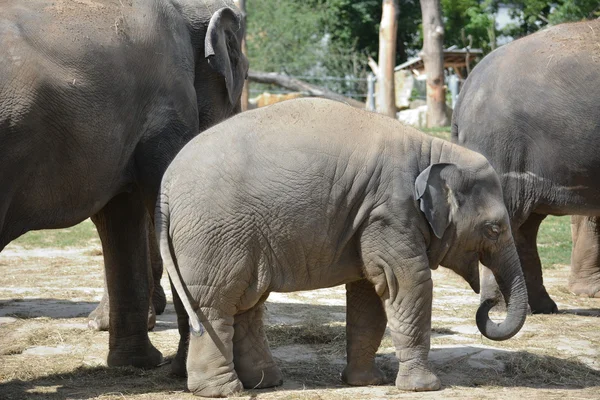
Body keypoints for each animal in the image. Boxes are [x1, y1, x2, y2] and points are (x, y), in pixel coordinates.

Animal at [156, 97, 528, 396]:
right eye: (494, 229)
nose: (489, 303)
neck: (433, 148)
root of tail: (166, 185)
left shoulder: (370, 217)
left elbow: (369, 294)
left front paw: (366, 382)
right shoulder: (391, 213)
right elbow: (409, 282)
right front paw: (425, 387)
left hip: (239, 235)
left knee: (246, 300)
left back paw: (265, 383)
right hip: (215, 235)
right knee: (216, 302)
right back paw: (224, 391)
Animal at [454, 20, 600, 314]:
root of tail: (467, 87)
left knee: (525, 227)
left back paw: (540, 307)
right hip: (501, 147)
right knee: (507, 219)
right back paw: (502, 308)